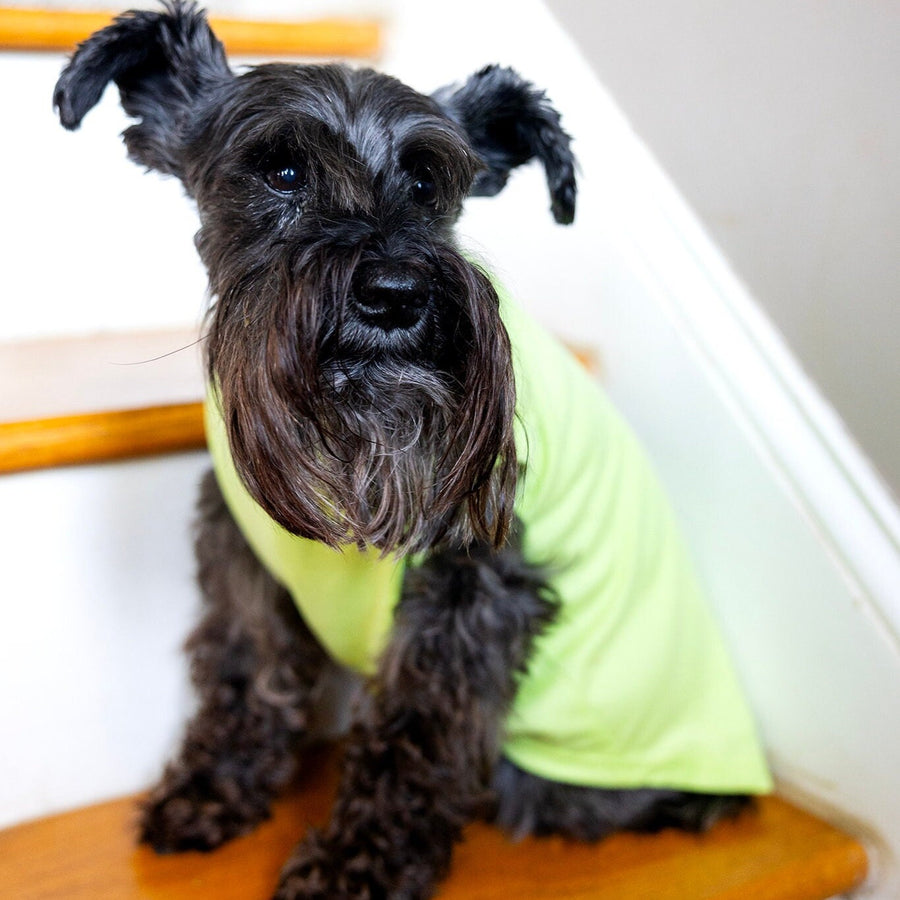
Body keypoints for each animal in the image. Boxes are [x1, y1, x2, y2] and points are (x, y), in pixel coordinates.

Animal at [52, 3, 768, 896]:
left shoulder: (469, 590)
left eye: (429, 184)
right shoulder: (241, 552)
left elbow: (415, 730)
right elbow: (248, 667)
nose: (395, 293)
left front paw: (357, 864)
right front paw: (215, 790)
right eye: (281, 171)